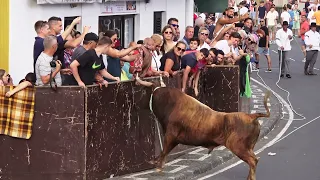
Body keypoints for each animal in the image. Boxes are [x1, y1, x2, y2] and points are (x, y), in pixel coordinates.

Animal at [135, 77, 270, 180]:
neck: (170, 102)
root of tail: (251, 116)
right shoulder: (172, 138)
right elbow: (164, 152)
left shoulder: (170, 136)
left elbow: (164, 151)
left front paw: (158, 167)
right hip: (248, 147)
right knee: (255, 160)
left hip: (238, 147)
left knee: (253, 161)